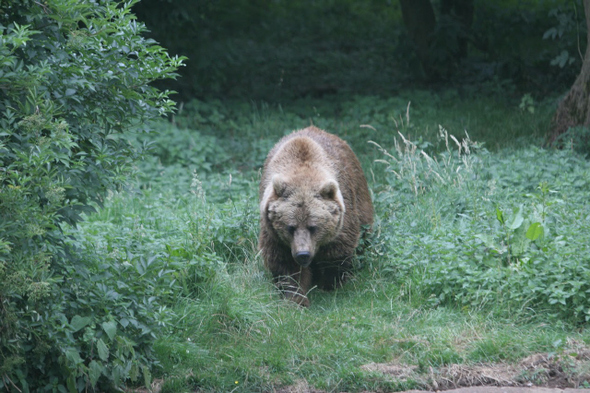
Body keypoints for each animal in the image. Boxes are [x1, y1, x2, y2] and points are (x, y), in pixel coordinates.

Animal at [260, 125, 374, 306]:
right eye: (290, 227)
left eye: (313, 227)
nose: (303, 254)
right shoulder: (274, 233)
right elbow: (285, 264)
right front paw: (295, 298)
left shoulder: (343, 216)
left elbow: (337, 252)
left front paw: (329, 283)